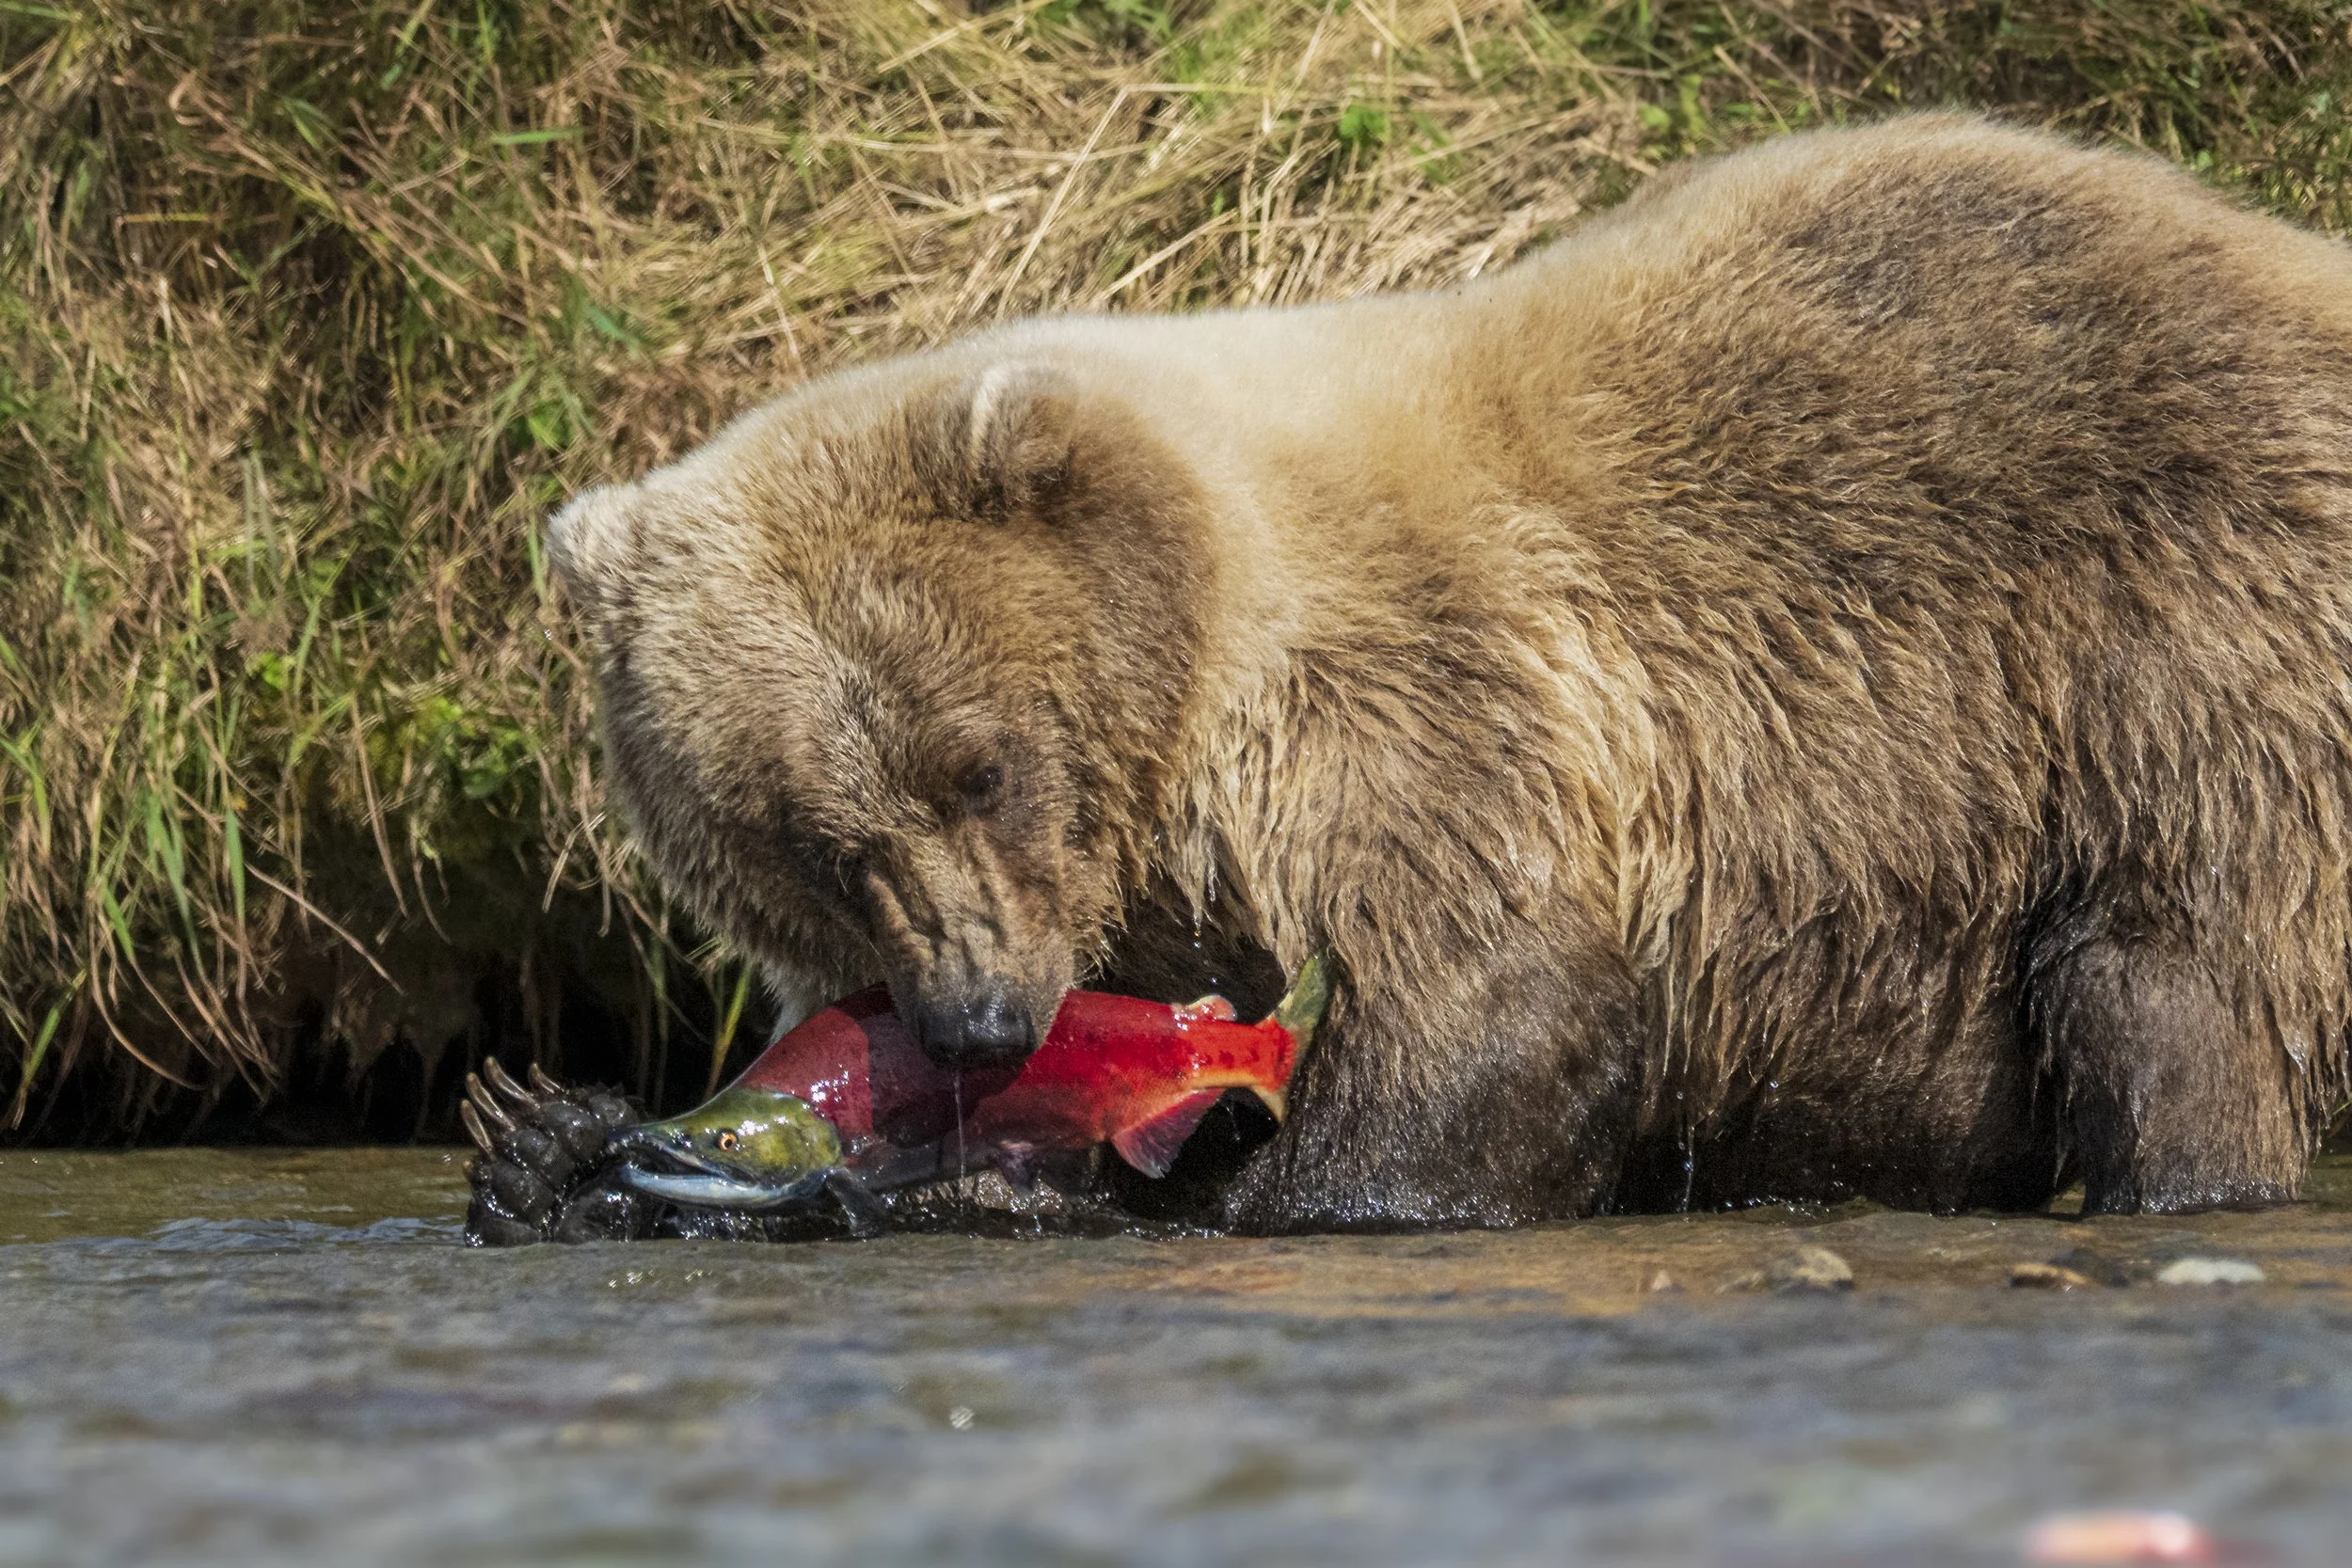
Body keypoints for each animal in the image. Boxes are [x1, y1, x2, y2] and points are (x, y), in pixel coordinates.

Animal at [546, 114, 2352, 1233]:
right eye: (805, 836)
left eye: (977, 760)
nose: (980, 1014)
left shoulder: (1436, 687)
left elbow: (1489, 991)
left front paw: (1274, 1193)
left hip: (2181, 647)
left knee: (2175, 973)